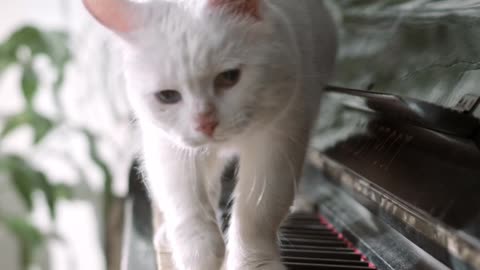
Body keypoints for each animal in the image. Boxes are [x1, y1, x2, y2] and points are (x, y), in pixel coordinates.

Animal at [83, 0, 338, 270]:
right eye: (167, 96)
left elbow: (258, 212)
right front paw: (198, 254)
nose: (205, 123)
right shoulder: (167, 145)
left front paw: (253, 262)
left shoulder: (281, 138)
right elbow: (185, 202)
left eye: (229, 77)